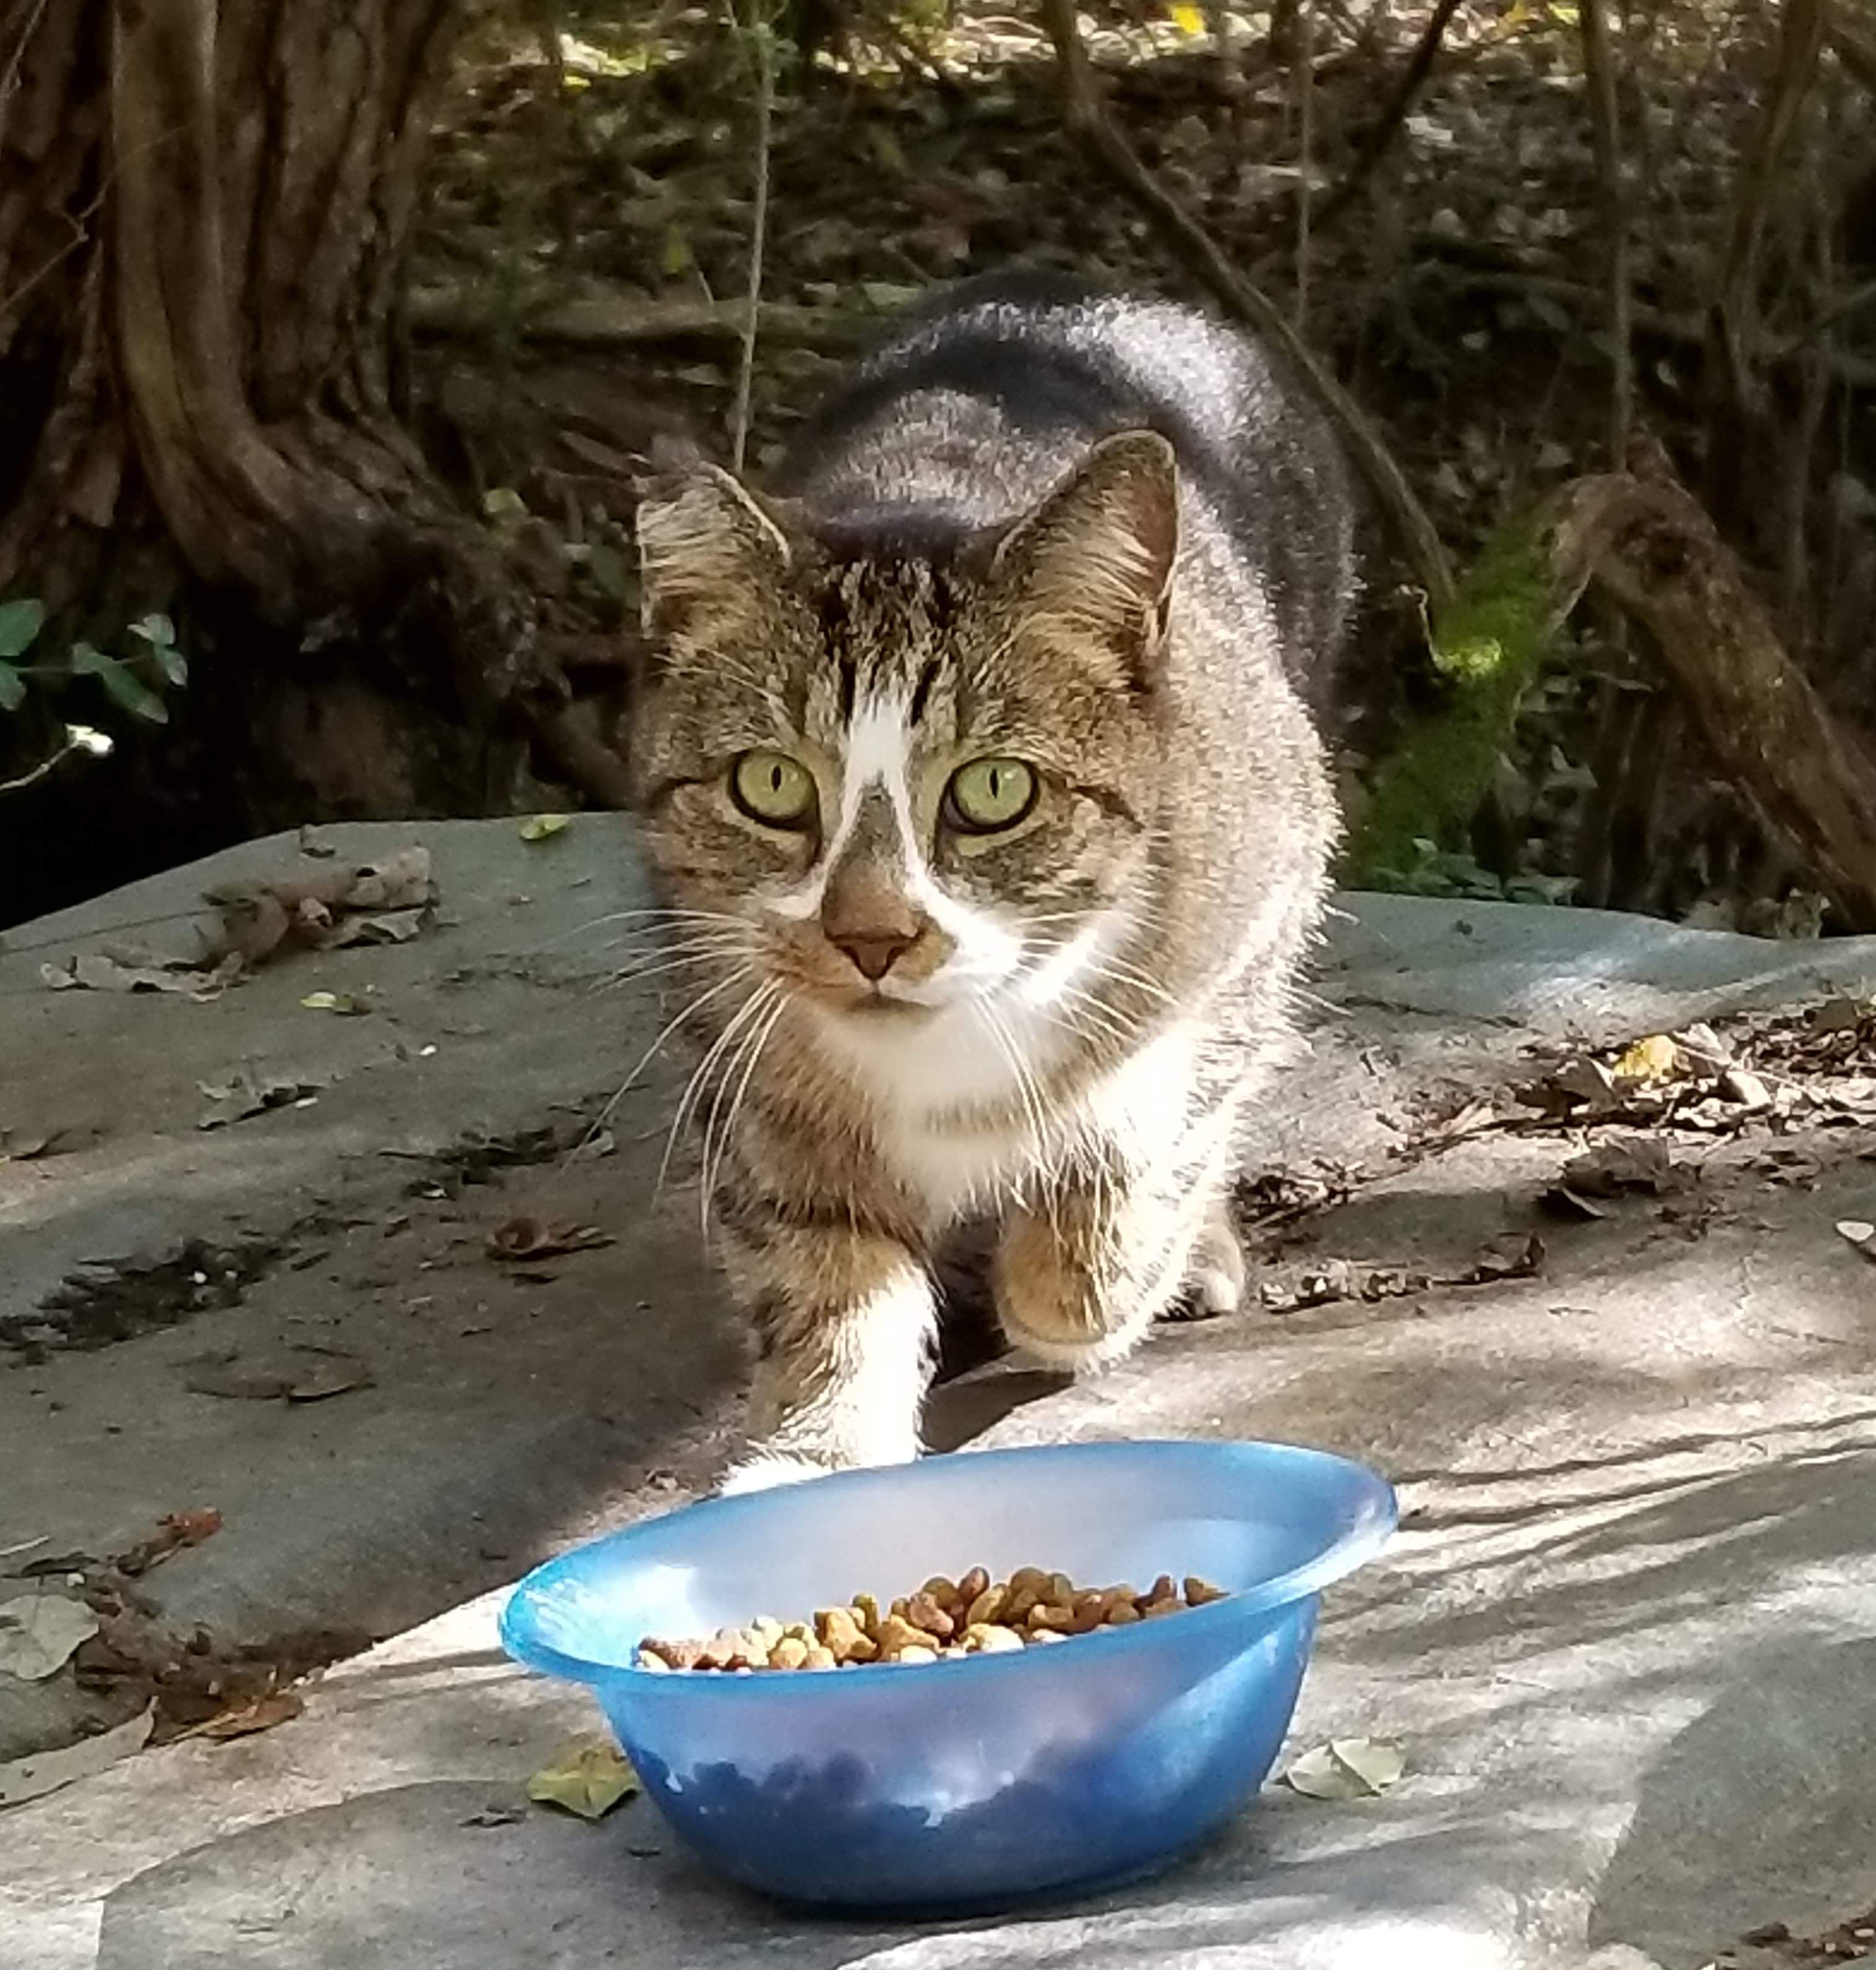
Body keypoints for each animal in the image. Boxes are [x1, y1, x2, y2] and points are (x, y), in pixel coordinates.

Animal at [638, 270, 1356, 1481]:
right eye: (771, 784)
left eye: (991, 791)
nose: (871, 935)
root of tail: (1082, 288)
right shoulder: (741, 1037)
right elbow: (820, 1263)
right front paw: (819, 1448)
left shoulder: (1260, 907)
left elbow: (1146, 1154)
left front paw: (1068, 1284)